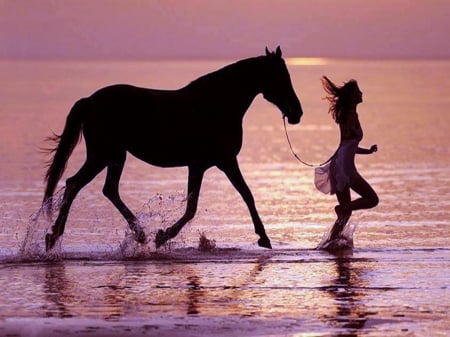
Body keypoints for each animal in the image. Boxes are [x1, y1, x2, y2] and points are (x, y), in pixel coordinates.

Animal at [43, 48, 302, 252]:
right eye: (280, 77)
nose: (297, 112)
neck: (217, 105)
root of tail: (89, 101)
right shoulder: (219, 161)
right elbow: (215, 202)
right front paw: (163, 236)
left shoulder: (208, 164)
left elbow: (229, 198)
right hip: (103, 155)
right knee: (75, 184)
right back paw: (54, 236)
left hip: (114, 156)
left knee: (107, 189)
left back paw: (137, 234)